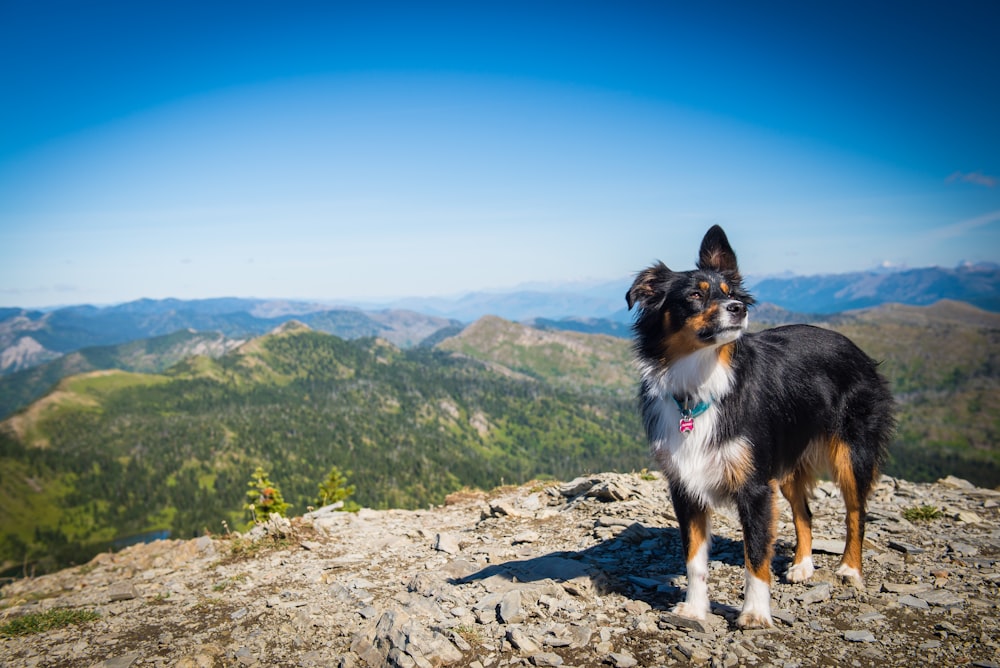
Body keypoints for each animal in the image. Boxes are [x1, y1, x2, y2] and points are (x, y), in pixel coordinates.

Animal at [628, 224, 896, 628]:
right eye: (694, 295)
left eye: (730, 294)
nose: (738, 310)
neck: (701, 380)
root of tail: (855, 348)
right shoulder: (685, 486)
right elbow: (694, 559)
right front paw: (694, 609)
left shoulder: (754, 486)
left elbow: (756, 554)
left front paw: (755, 613)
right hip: (785, 461)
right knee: (805, 513)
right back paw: (803, 566)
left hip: (850, 452)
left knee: (856, 512)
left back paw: (850, 570)